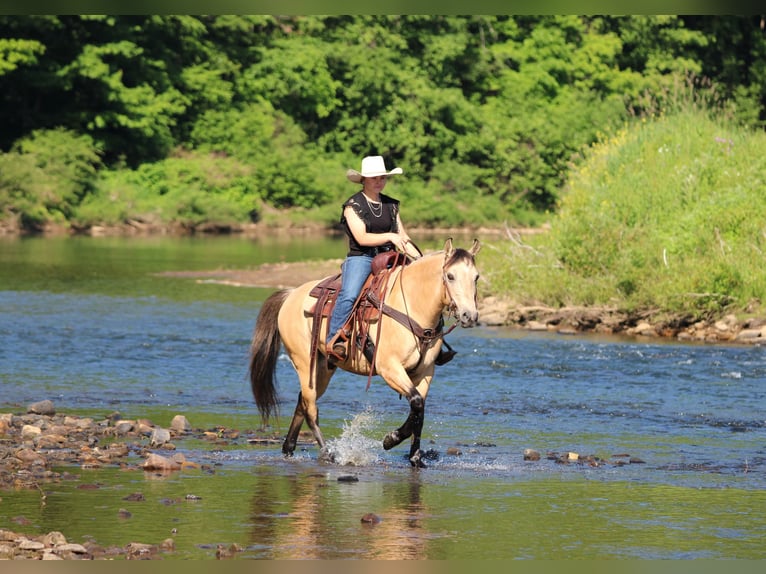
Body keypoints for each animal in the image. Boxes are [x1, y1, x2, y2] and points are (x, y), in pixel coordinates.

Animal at [248, 238, 481, 467]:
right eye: (450, 276)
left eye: (476, 277)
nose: (469, 315)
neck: (413, 306)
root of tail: (290, 295)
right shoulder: (389, 368)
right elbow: (416, 404)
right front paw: (390, 440)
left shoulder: (425, 373)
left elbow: (419, 412)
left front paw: (415, 458)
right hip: (304, 362)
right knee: (310, 409)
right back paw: (328, 454)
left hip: (323, 368)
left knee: (302, 401)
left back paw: (288, 449)